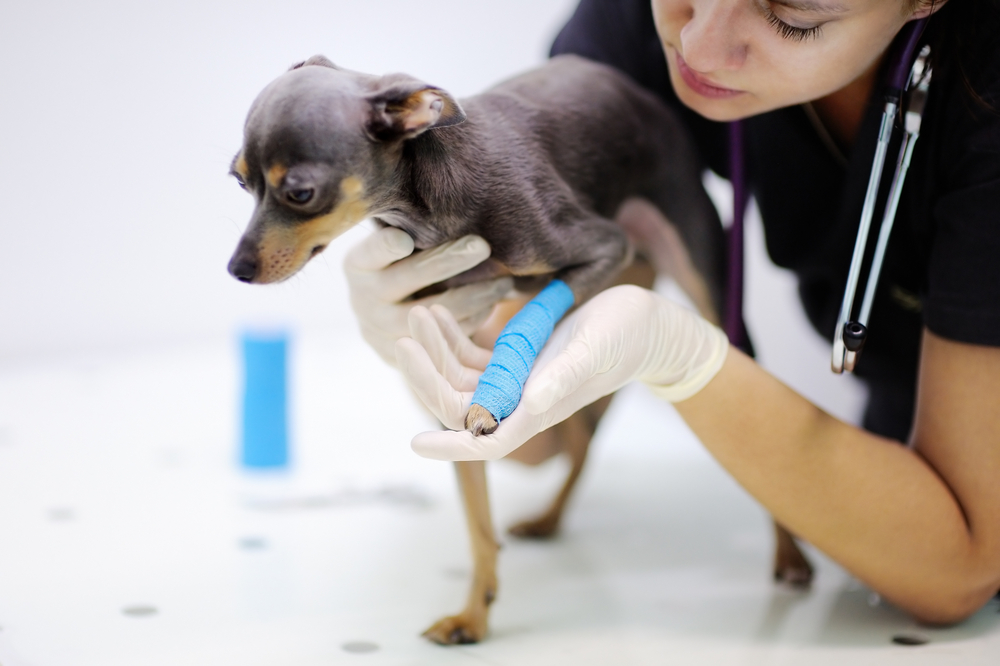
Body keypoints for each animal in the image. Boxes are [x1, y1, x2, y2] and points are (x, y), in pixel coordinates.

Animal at [227, 55, 812, 644]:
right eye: (239, 180)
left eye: (300, 193)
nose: (236, 269)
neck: (429, 208)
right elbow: (478, 520)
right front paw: (473, 613)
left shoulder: (602, 247)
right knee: (583, 440)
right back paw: (550, 518)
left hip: (703, 285)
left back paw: (790, 556)